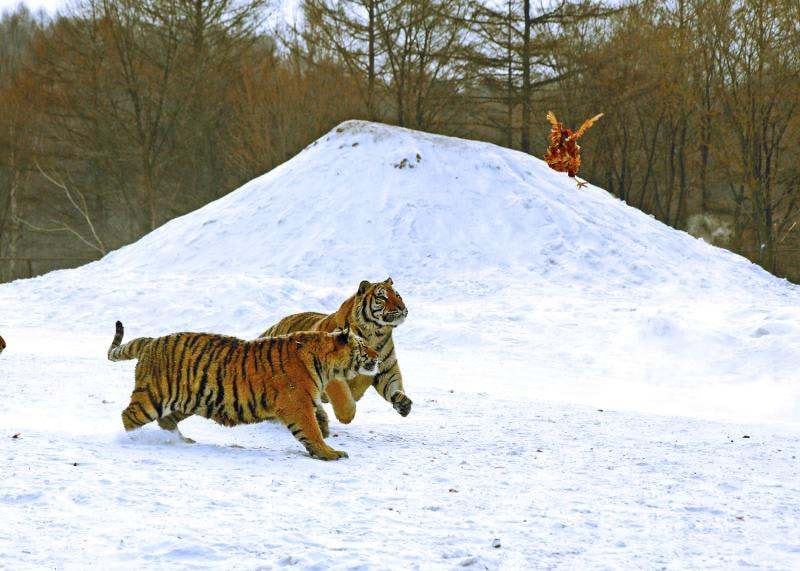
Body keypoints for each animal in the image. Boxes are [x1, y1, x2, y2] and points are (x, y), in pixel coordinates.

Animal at [108, 320, 380, 462]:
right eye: (363, 345)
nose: (378, 356)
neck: (326, 365)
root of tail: (151, 341)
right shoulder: (298, 404)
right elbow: (311, 431)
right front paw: (329, 452)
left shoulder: (307, 400)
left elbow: (319, 419)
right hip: (154, 396)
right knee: (128, 416)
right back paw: (133, 439)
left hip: (189, 400)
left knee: (166, 421)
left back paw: (182, 440)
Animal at [260, 278, 412, 424]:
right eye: (382, 297)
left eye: (398, 295)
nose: (402, 307)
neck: (375, 335)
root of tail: (275, 326)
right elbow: (342, 395)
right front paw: (346, 415)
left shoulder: (387, 369)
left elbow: (394, 385)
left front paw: (403, 402)